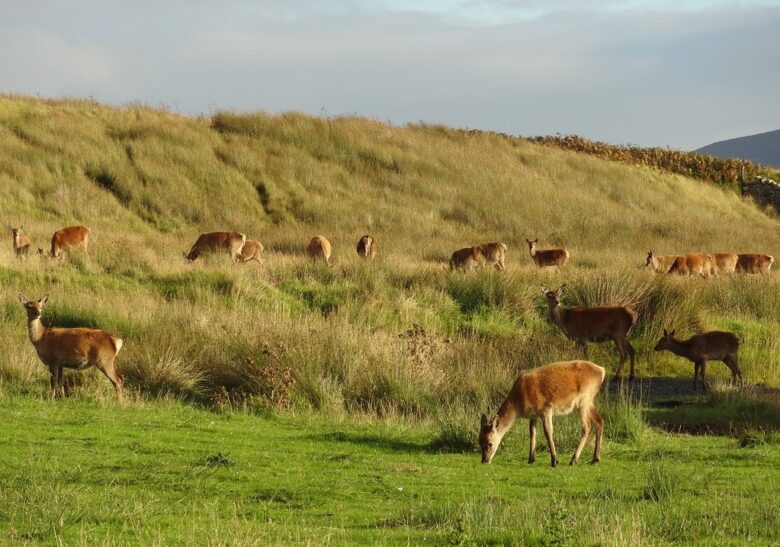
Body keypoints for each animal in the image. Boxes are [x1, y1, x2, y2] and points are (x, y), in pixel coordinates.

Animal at [478, 362, 608, 468]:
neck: (519, 403)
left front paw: (555, 461)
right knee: (599, 421)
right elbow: (532, 431)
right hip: (589, 401)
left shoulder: (546, 408)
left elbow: (547, 432)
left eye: (490, 443)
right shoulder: (534, 414)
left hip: (584, 400)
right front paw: (531, 459)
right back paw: (595, 459)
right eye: (480, 442)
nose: (484, 460)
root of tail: (602, 371)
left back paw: (573, 460)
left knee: (587, 427)